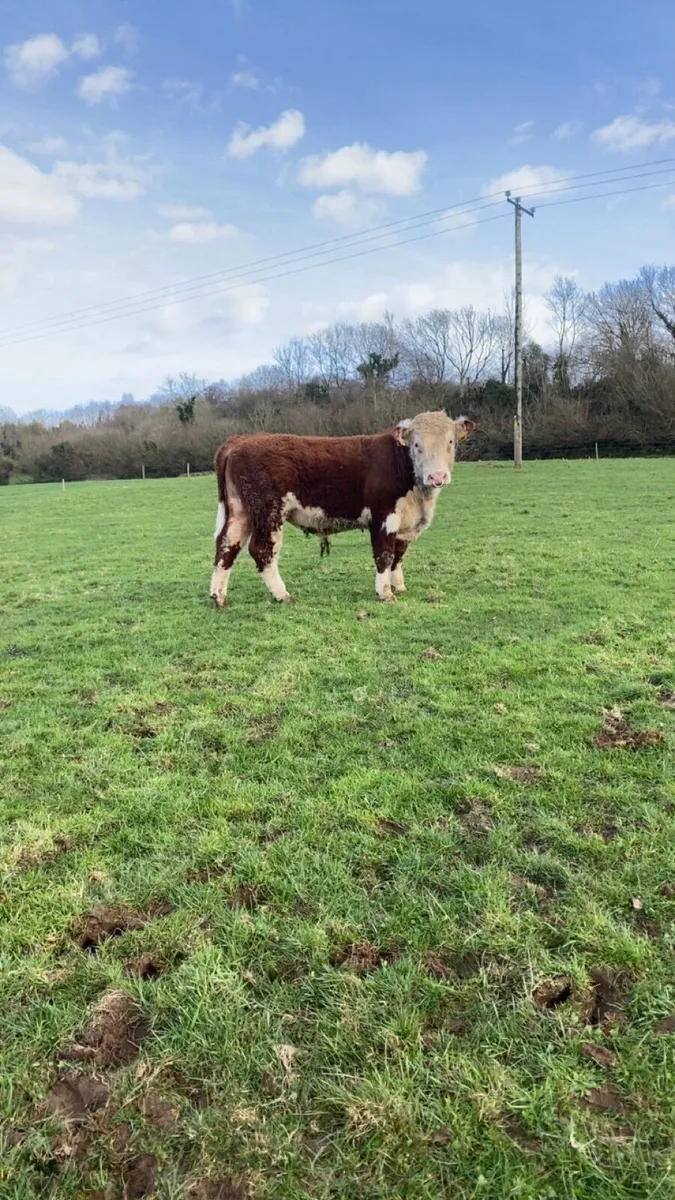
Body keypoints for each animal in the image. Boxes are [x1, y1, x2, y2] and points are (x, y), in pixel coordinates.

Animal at [209, 410, 475, 607]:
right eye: (417, 444)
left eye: (450, 442)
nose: (437, 476)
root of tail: (241, 440)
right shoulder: (383, 517)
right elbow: (385, 554)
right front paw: (385, 593)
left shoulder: (404, 524)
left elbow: (399, 555)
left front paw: (399, 586)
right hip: (268, 512)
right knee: (262, 550)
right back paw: (281, 595)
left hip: (241, 511)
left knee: (227, 545)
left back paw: (218, 597)